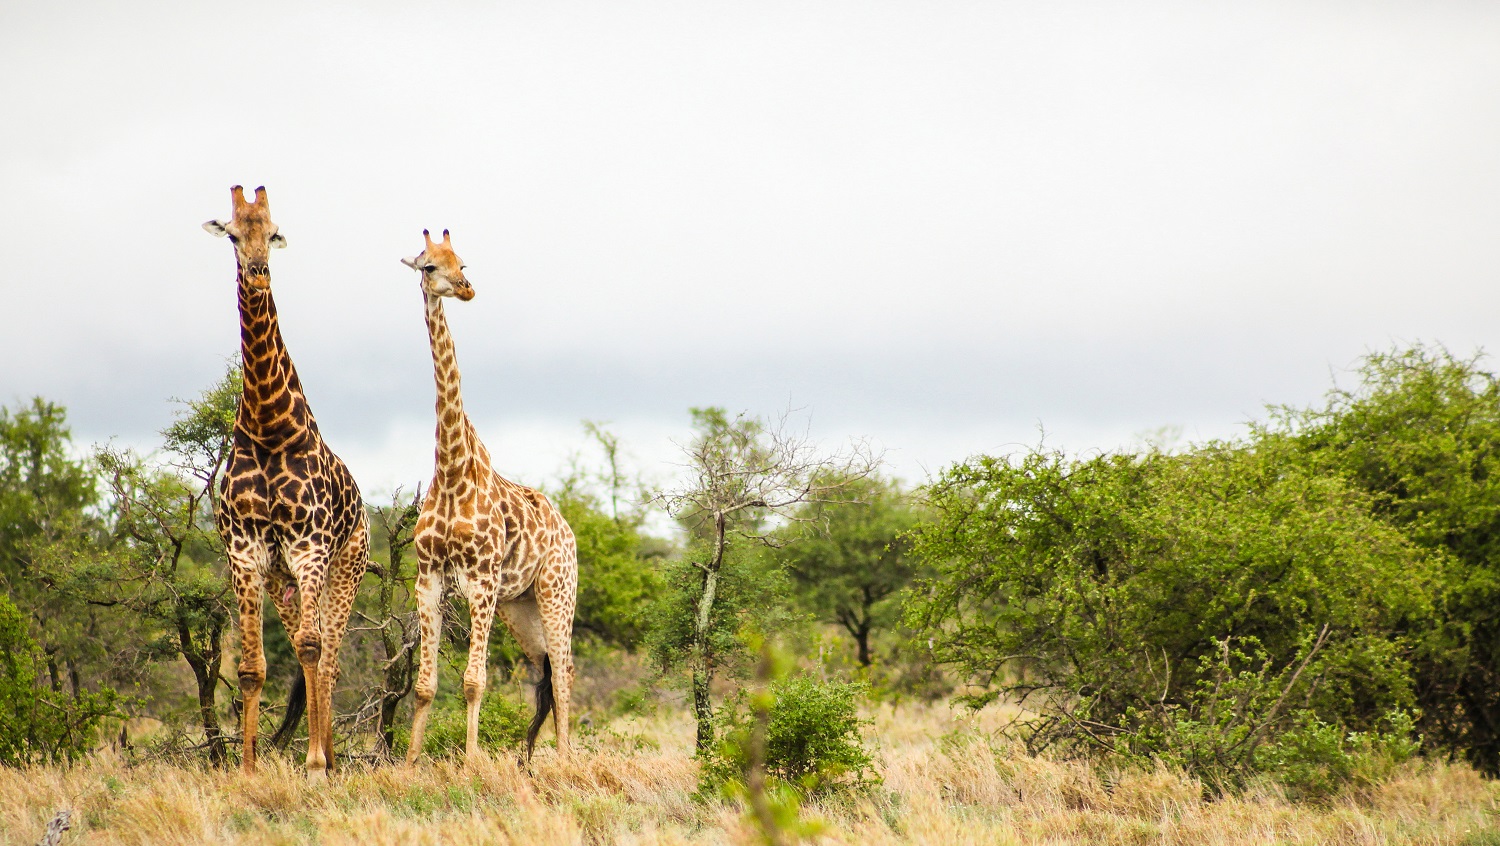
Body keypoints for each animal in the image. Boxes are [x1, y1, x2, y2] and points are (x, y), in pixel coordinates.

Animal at [203, 185, 370, 778]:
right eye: (233, 234)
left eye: (274, 232)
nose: (257, 273)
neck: (269, 425)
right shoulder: (246, 553)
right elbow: (253, 666)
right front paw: (248, 767)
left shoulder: (310, 548)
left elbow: (314, 649)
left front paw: (316, 763)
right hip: (282, 581)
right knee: (305, 647)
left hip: (345, 567)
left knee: (328, 655)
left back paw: (328, 756)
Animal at [400, 229, 579, 765]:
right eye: (429, 266)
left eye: (463, 261)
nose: (467, 289)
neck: (452, 470)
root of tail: (568, 530)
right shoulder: (428, 579)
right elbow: (425, 685)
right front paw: (410, 764)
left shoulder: (481, 581)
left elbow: (474, 681)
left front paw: (470, 761)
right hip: (520, 607)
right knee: (550, 673)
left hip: (557, 591)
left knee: (565, 671)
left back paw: (566, 761)